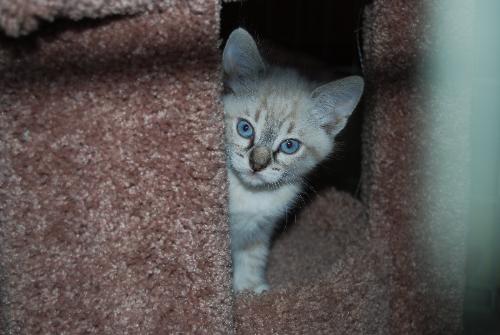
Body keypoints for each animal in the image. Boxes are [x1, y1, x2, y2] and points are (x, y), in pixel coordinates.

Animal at [224, 28, 364, 294]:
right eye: (245, 129)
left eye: (289, 146)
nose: (257, 165)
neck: (251, 196)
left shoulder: (260, 230)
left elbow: (252, 258)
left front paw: (251, 289)